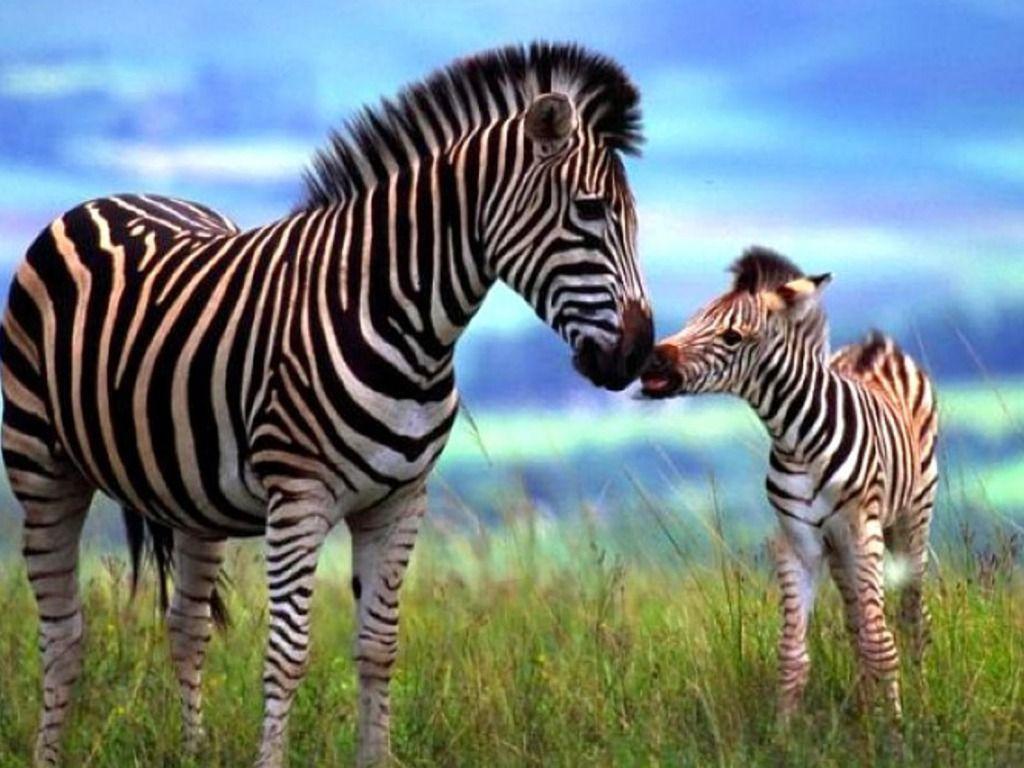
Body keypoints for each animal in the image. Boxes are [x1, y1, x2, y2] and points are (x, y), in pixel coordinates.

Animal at [0, 42, 653, 767]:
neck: (402, 321)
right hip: (40, 464)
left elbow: (378, 648)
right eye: (590, 211)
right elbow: (287, 656)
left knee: (186, 625)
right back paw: (48, 752)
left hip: (190, 494)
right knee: (63, 632)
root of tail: (107, 197)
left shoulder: (400, 502)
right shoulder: (300, 498)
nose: (638, 354)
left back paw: (193, 751)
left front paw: (377, 757)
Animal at [641, 247, 938, 721]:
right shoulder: (800, 542)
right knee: (856, 620)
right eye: (693, 319)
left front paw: (894, 726)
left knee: (912, 614)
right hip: (839, 548)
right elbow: (794, 653)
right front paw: (784, 730)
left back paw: (918, 693)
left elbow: (881, 644)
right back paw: (863, 702)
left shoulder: (862, 531)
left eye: (732, 337)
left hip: (912, 516)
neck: (797, 441)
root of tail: (877, 344)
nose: (652, 360)